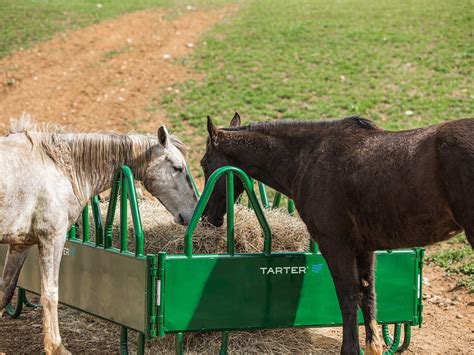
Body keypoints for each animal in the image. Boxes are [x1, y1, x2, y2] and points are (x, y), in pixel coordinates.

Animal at [0, 116, 197, 354]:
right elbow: (50, 294)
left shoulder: (21, 243)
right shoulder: (52, 239)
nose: (194, 211)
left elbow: (6, 288)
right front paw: (56, 346)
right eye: (178, 168)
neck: (59, 167)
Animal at [201, 114, 474, 355]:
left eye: (204, 163)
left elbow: (347, 297)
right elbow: (368, 295)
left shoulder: (335, 245)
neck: (308, 157)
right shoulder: (363, 248)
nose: (207, 218)